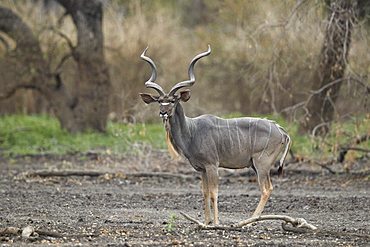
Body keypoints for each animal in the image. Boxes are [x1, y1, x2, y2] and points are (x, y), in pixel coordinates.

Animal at [139, 45, 292, 225]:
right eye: (159, 101)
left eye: (173, 100)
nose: (162, 112)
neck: (192, 131)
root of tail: (281, 131)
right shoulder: (202, 169)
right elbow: (205, 193)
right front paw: (206, 222)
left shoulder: (212, 165)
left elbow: (214, 193)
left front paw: (216, 223)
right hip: (256, 165)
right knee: (268, 188)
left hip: (261, 163)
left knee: (266, 189)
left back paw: (250, 221)